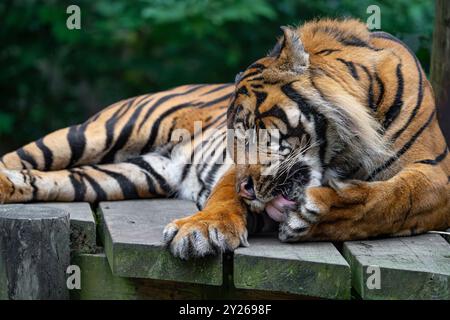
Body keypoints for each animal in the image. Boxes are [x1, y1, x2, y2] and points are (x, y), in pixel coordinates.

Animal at [0, 18, 448, 260]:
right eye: (235, 133)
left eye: (255, 126)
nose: (251, 189)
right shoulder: (235, 176)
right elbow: (223, 196)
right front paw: (200, 232)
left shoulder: (437, 175)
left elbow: (395, 199)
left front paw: (318, 215)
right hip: (93, 133)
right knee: (20, 158)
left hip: (125, 174)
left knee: (39, 181)